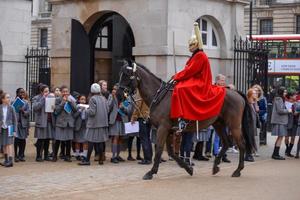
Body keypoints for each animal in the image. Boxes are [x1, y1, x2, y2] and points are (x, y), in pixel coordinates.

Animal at [117, 59, 255, 180]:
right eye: (121, 74)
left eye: (127, 75)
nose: (118, 94)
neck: (160, 96)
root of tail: (236, 92)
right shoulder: (169, 130)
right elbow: (171, 152)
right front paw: (188, 168)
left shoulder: (163, 128)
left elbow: (160, 149)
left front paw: (151, 172)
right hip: (218, 124)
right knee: (226, 143)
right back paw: (216, 166)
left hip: (234, 125)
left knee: (241, 144)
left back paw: (237, 170)